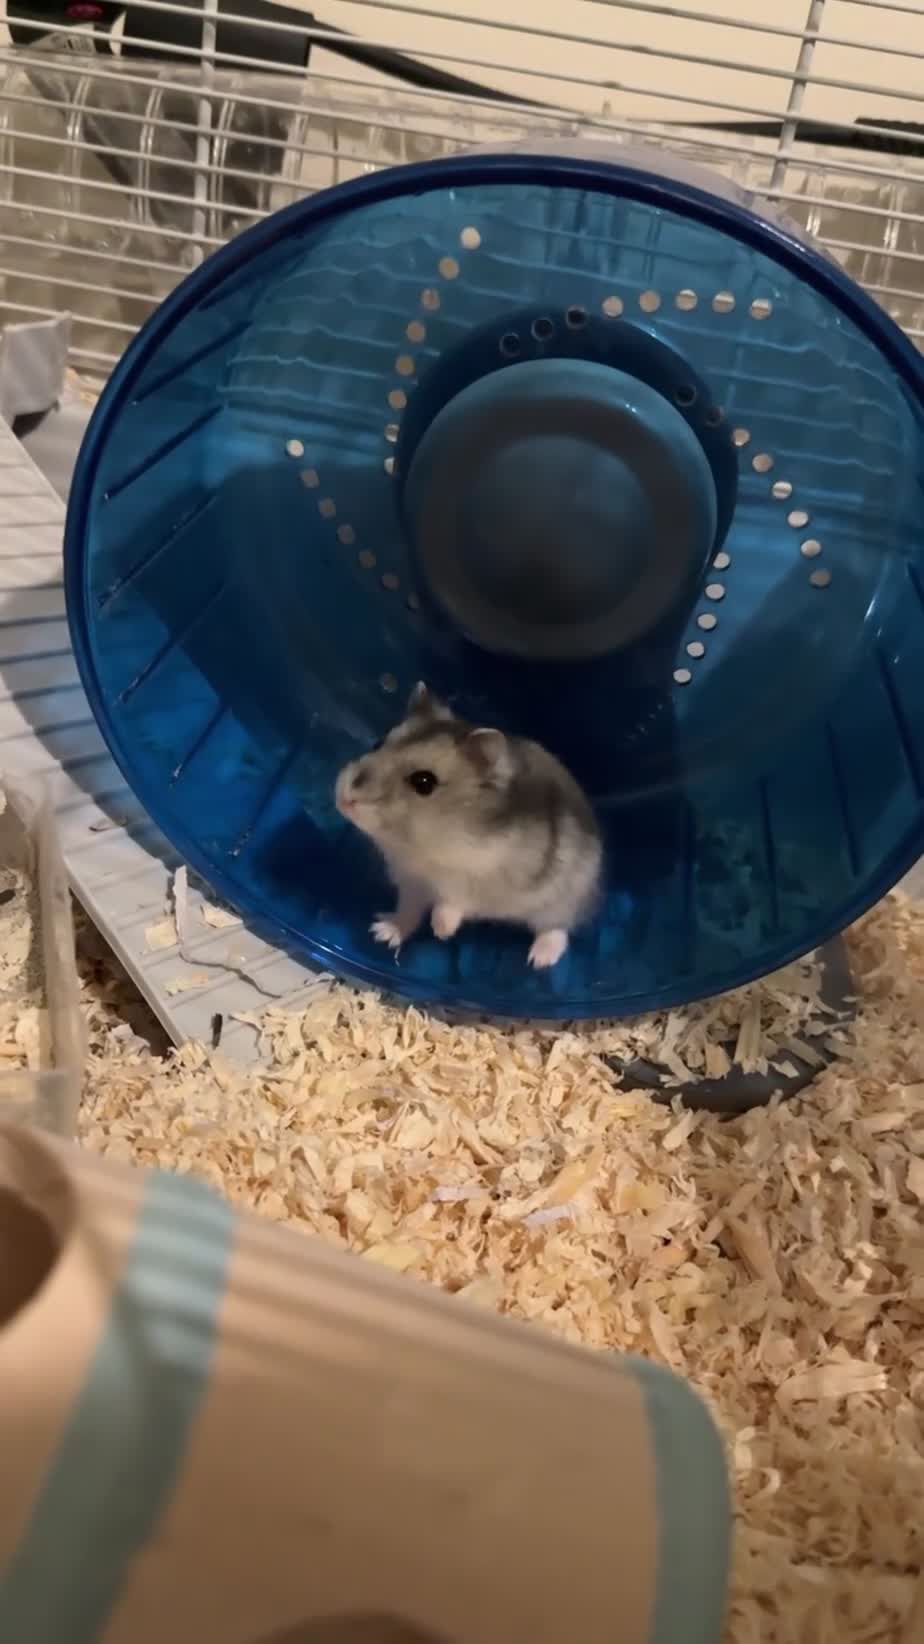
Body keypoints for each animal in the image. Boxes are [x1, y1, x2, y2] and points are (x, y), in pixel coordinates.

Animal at [335, 682, 603, 969]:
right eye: (378, 743)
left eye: (424, 782)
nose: (344, 799)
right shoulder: (411, 883)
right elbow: (408, 911)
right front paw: (382, 933)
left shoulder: (474, 881)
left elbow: (452, 903)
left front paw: (440, 931)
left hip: (562, 900)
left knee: (557, 928)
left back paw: (538, 961)